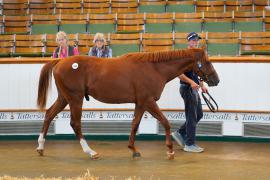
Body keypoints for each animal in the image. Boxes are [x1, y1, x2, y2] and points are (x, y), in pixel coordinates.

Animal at [35, 48, 219, 160]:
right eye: (208, 62)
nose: (216, 80)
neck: (154, 68)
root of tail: (60, 62)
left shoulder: (140, 104)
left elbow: (134, 124)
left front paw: (133, 149)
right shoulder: (148, 101)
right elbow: (165, 122)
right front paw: (170, 150)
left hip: (64, 98)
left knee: (49, 114)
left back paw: (41, 147)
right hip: (75, 99)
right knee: (75, 123)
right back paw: (90, 152)